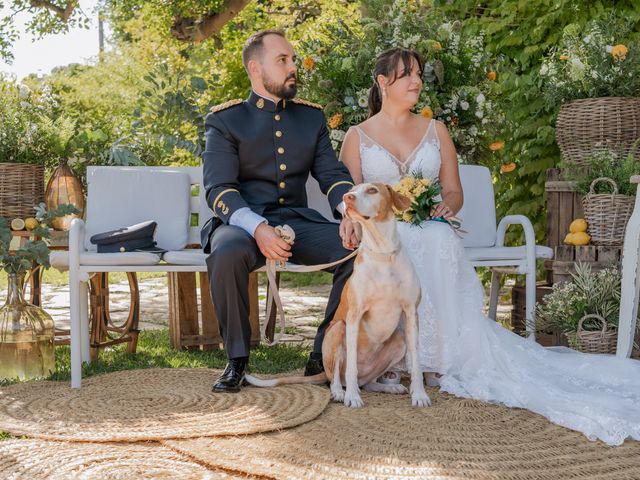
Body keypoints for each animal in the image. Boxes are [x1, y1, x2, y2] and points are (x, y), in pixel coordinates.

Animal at [245, 182, 430, 406]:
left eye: (372, 190)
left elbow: (416, 362)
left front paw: (419, 395)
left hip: (399, 340)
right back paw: (341, 392)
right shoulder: (354, 316)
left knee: (367, 382)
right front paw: (351, 397)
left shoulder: (411, 314)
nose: (347, 197)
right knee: (337, 376)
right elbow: (350, 366)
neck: (382, 253)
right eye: (352, 189)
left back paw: (388, 387)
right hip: (337, 330)